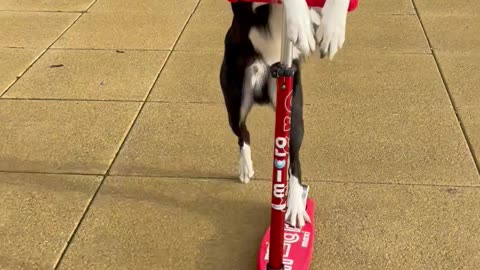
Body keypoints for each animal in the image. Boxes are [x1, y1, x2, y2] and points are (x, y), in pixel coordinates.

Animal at [219, 0, 350, 228]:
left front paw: (332, 29)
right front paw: (300, 22)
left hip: (294, 115)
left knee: (294, 162)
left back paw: (295, 205)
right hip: (236, 103)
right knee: (243, 133)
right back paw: (246, 167)